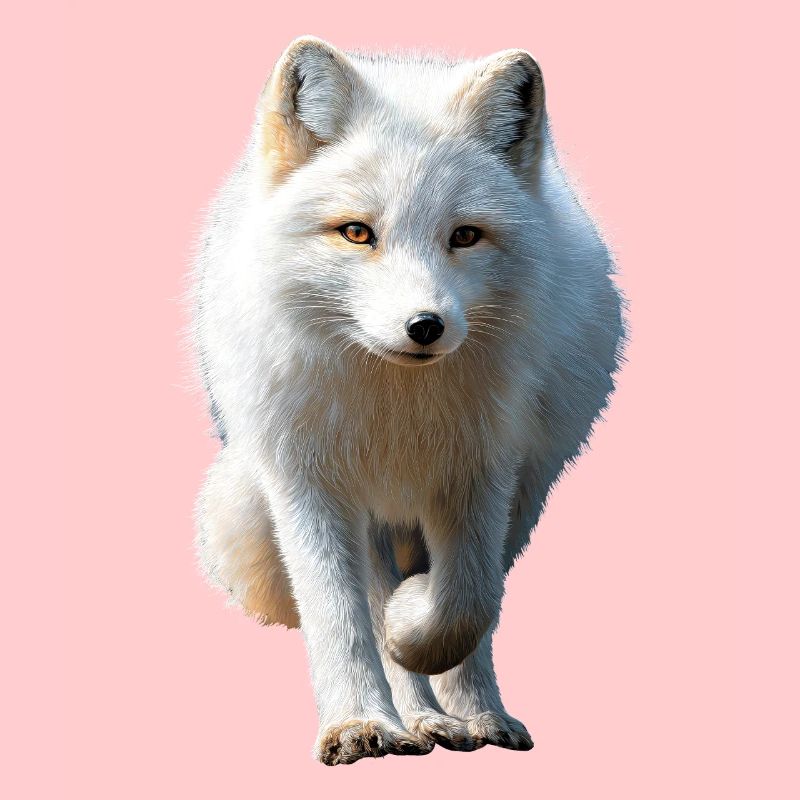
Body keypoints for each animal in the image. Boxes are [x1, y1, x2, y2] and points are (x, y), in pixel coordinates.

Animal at [190, 35, 625, 766]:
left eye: (465, 236)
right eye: (357, 233)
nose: (426, 326)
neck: (397, 409)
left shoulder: (482, 471)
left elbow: (467, 603)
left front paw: (418, 640)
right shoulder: (309, 480)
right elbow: (340, 614)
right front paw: (359, 721)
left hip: (523, 494)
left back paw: (467, 716)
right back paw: (413, 719)